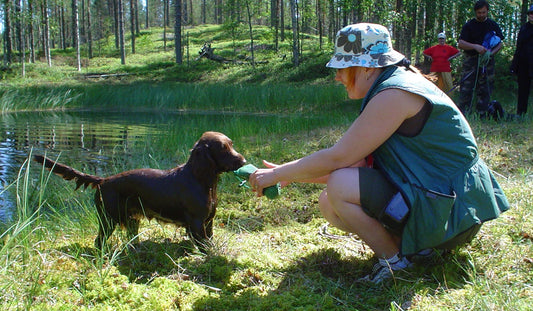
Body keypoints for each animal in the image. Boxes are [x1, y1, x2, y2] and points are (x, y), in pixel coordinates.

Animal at [34, 131, 246, 251]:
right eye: (223, 148)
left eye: (232, 144)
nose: (243, 161)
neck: (201, 180)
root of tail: (104, 180)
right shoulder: (196, 224)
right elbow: (205, 246)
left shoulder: (208, 221)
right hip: (108, 218)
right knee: (99, 241)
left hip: (131, 220)